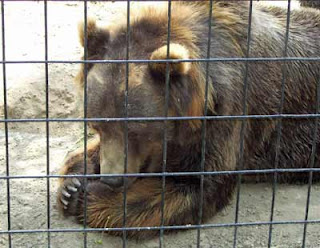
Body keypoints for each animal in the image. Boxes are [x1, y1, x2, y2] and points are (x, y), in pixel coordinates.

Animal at [57, 0, 320, 239]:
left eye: (136, 129)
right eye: (96, 125)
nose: (112, 178)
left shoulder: (229, 112)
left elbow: (191, 185)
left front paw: (86, 196)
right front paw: (72, 184)